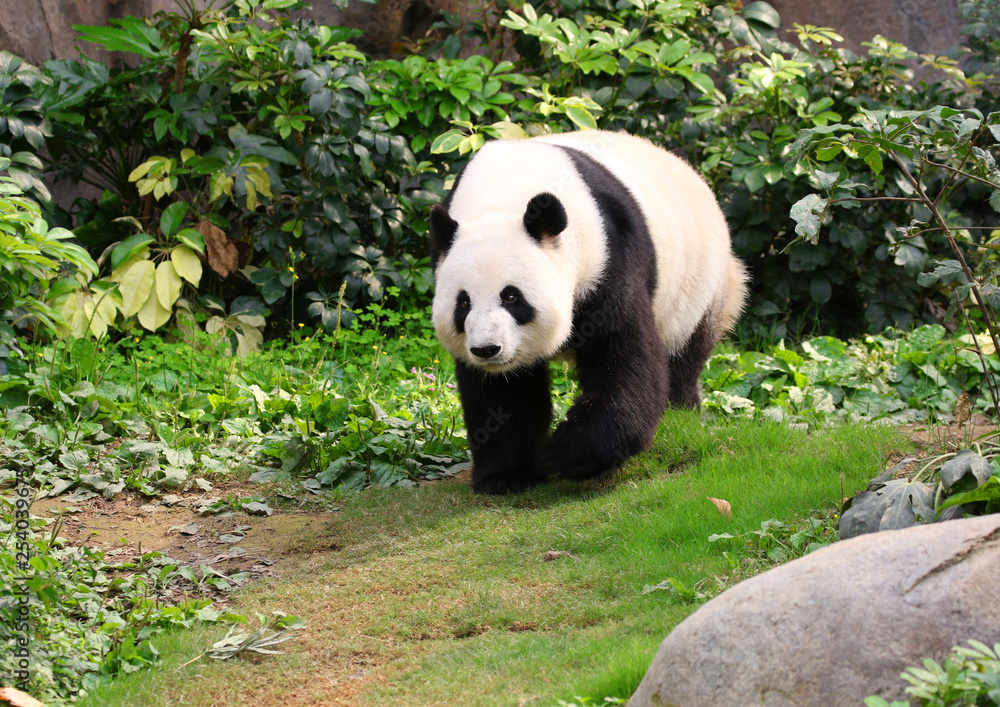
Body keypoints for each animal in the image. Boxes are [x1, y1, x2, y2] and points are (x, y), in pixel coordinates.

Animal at [430, 130, 748, 495]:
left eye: (511, 296)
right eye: (463, 303)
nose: (487, 349)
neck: (503, 195)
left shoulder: (608, 254)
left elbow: (624, 354)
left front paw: (567, 454)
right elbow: (502, 395)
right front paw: (506, 476)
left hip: (699, 282)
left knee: (684, 353)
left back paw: (680, 413)